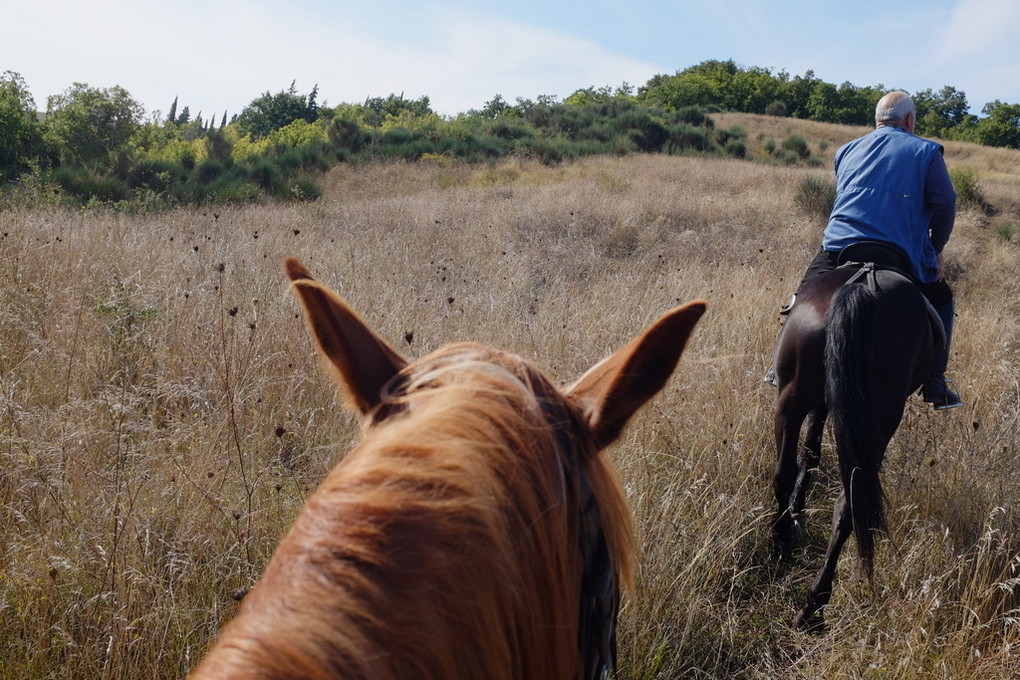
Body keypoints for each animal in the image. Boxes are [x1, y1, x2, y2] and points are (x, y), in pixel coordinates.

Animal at [770, 246, 936, 630]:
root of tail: (859, 287)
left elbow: (811, 450)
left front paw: (799, 506)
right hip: (878, 416)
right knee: (849, 502)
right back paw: (814, 600)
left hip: (792, 395)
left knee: (785, 473)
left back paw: (787, 544)